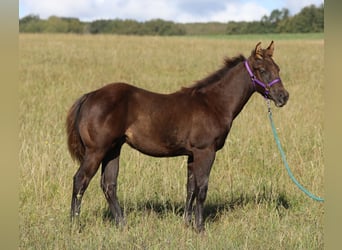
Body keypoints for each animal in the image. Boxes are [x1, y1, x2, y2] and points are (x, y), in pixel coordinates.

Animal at [66, 41, 288, 232]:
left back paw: (122, 225)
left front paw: (187, 224)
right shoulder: (205, 152)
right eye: (262, 70)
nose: (283, 97)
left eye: (278, 68)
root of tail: (89, 96)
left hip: (113, 149)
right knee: (80, 180)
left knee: (109, 185)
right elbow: (202, 188)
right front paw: (200, 228)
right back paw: (75, 225)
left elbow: (190, 188)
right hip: (97, 151)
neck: (213, 103)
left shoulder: (191, 155)